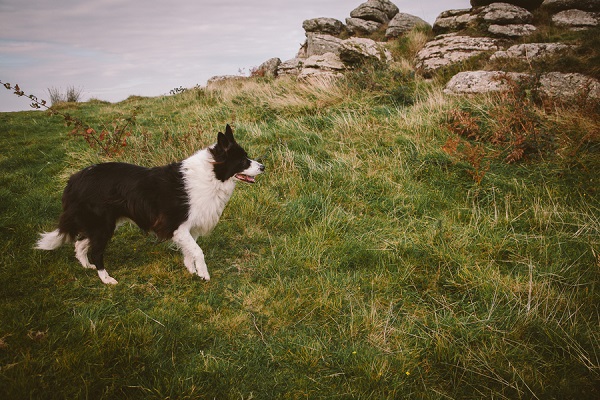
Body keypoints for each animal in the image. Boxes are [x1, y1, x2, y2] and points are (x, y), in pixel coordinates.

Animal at [35, 125, 264, 284]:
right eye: (243, 160)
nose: (263, 166)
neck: (212, 175)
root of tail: (74, 179)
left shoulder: (189, 227)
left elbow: (190, 251)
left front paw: (191, 271)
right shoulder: (176, 225)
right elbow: (198, 251)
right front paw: (203, 274)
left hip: (101, 224)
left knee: (80, 243)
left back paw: (87, 266)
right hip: (103, 225)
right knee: (96, 251)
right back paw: (106, 278)